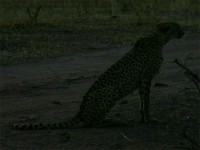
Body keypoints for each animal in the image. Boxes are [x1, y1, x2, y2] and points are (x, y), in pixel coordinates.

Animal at [12, 21, 184, 129]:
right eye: (177, 27)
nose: (183, 32)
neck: (159, 39)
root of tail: (81, 109)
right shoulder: (146, 77)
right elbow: (146, 101)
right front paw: (148, 119)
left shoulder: (142, 80)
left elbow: (142, 101)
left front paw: (143, 118)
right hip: (110, 90)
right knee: (92, 124)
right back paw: (114, 121)